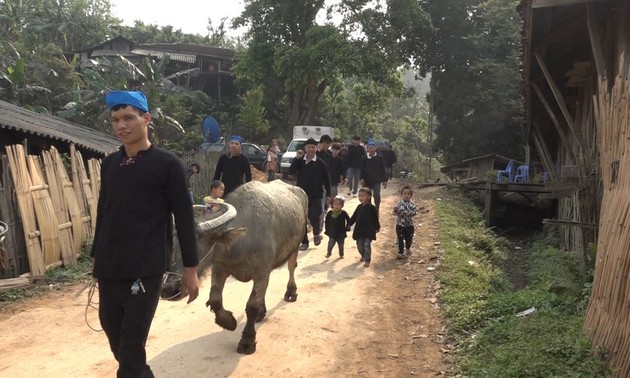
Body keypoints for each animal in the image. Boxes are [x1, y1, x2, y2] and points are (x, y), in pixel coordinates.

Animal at [163, 180, 308, 354]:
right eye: (169, 248)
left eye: (195, 249)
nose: (169, 289)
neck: (243, 241)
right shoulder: (219, 269)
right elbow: (215, 300)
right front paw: (229, 322)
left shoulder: (261, 272)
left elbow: (251, 306)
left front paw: (247, 340)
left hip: (295, 246)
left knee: (291, 268)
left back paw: (291, 292)